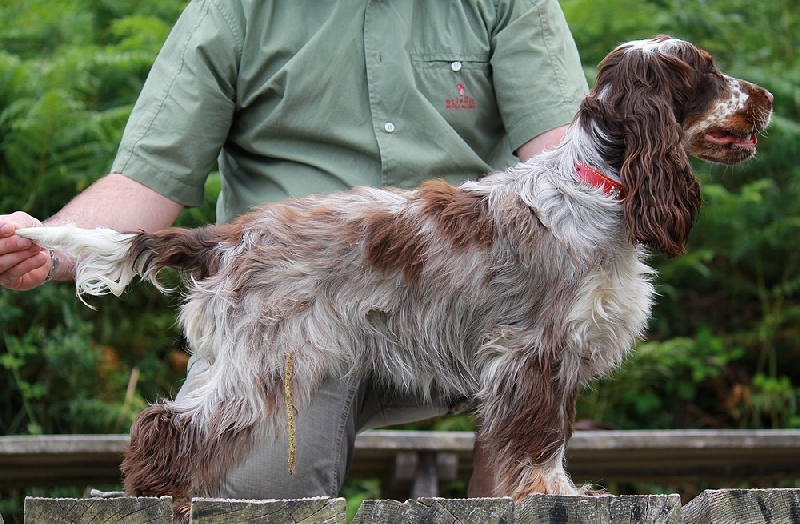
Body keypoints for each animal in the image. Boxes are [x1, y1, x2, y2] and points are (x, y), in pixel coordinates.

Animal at [18, 35, 772, 508]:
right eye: (706, 73)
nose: (764, 97)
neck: (595, 190)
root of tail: (229, 237)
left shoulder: (557, 356)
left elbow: (550, 435)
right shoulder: (533, 351)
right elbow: (538, 439)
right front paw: (551, 496)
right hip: (258, 362)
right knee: (167, 426)